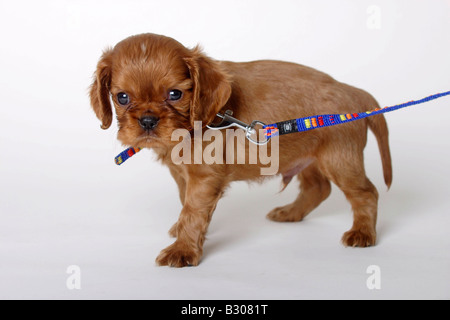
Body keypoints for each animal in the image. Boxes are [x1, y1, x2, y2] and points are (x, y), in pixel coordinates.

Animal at [88, 32, 390, 268]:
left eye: (175, 94)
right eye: (122, 97)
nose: (148, 120)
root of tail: (353, 92)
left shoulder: (204, 177)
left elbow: (192, 211)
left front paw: (183, 250)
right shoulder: (182, 174)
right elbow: (185, 203)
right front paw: (181, 233)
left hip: (340, 159)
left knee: (366, 192)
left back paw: (363, 233)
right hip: (305, 155)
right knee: (319, 188)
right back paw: (290, 213)